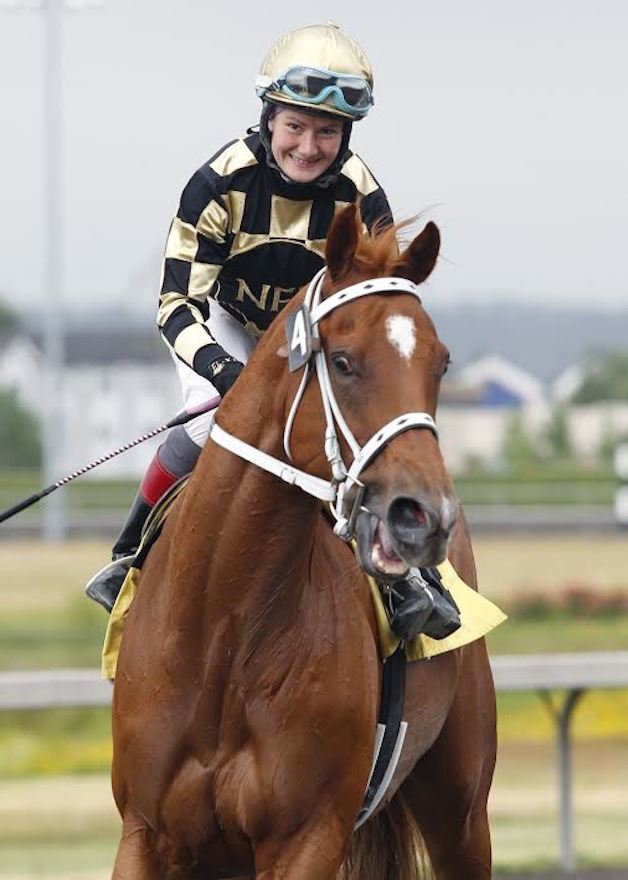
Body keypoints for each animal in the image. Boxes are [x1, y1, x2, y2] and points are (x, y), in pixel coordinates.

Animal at [110, 203, 498, 876]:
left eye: (440, 362)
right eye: (342, 360)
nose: (424, 515)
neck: (223, 629)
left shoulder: (308, 835)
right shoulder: (146, 833)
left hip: (463, 812)